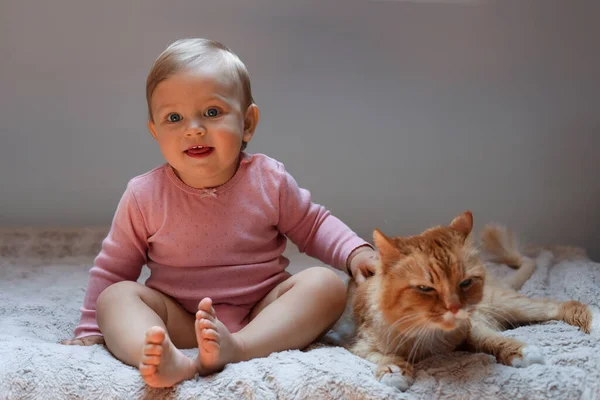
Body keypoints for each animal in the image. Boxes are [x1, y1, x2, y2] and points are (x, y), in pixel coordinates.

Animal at [350, 212, 596, 390]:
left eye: (465, 282)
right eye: (425, 288)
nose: (454, 307)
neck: (429, 336)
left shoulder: (471, 327)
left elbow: (492, 340)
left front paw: (521, 352)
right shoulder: (358, 347)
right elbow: (383, 356)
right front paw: (394, 371)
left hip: (511, 305)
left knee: (561, 305)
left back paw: (594, 324)